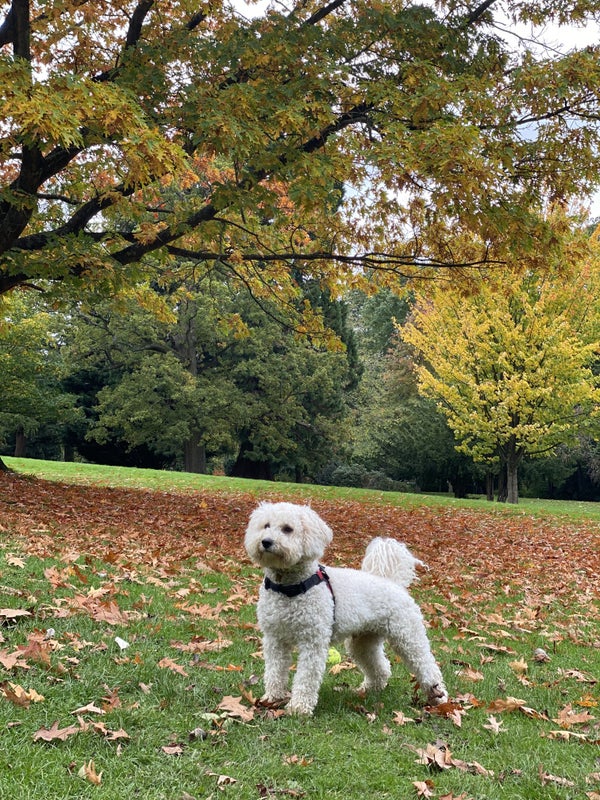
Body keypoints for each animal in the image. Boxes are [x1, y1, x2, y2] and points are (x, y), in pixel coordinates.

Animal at [244, 501, 448, 715]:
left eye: (287, 529)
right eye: (265, 525)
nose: (266, 541)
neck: (289, 588)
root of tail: (393, 583)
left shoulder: (312, 642)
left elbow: (306, 677)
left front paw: (299, 708)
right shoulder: (274, 639)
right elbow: (274, 671)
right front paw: (272, 698)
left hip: (408, 636)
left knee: (428, 666)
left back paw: (439, 698)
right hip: (363, 641)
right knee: (381, 667)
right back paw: (370, 689)